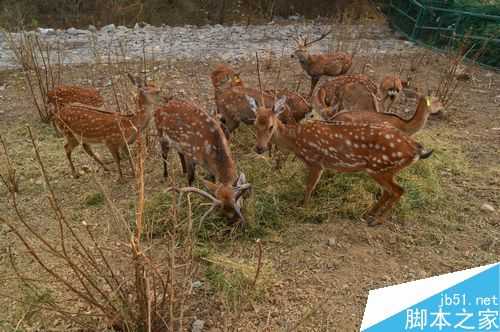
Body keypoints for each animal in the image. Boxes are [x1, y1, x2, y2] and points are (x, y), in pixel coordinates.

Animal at [246, 94, 434, 227]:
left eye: (271, 126)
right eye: (254, 124)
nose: (259, 148)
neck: (296, 140)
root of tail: (415, 149)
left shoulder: (316, 162)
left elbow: (309, 187)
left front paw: (303, 209)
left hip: (380, 167)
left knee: (398, 190)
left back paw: (377, 220)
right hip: (382, 169)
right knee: (389, 191)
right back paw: (367, 214)